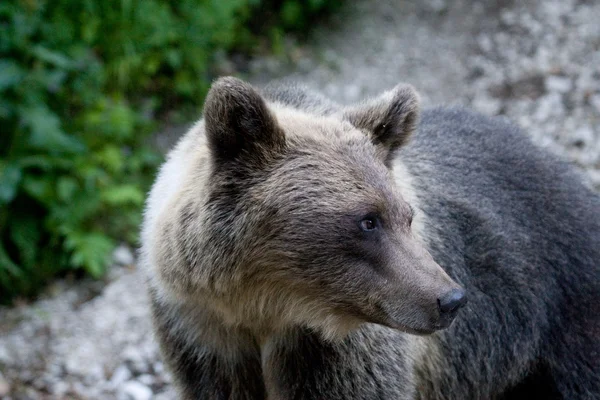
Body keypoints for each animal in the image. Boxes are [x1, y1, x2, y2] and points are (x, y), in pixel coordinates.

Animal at [142, 76, 600, 398]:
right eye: (368, 221)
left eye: (407, 216)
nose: (450, 299)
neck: (261, 308)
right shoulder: (202, 337)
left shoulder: (337, 352)